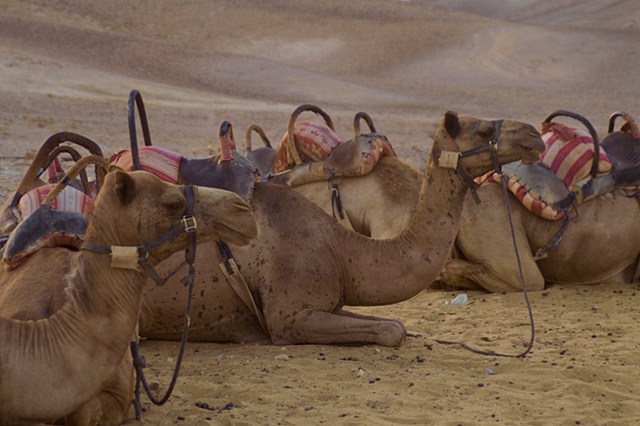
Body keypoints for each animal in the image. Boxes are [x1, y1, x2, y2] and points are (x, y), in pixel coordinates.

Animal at [140, 111, 544, 348]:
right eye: (484, 129)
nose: (535, 135)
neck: (342, 249)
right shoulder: (290, 316)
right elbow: (391, 331)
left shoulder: (331, 302)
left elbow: (394, 324)